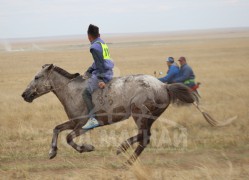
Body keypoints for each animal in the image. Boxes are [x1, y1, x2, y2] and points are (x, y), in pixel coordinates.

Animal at [21, 63, 220, 165]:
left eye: (37, 77)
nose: (24, 95)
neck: (73, 91)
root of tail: (164, 85)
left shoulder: (82, 125)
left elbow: (69, 138)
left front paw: (87, 148)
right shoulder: (73, 122)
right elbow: (56, 129)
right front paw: (52, 152)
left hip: (139, 114)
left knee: (143, 137)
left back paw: (123, 152)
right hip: (150, 117)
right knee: (145, 138)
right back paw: (126, 156)